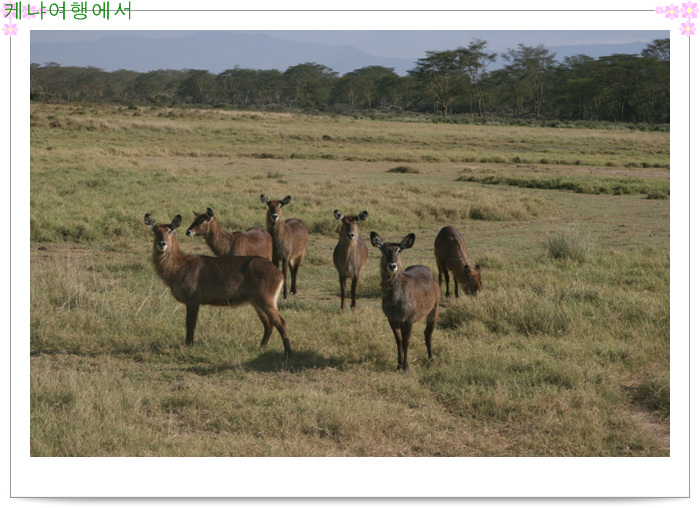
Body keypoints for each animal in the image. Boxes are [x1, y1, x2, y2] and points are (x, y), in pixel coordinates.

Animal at [145, 212, 292, 360]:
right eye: (156, 230)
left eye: (170, 230)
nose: (162, 243)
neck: (179, 266)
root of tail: (280, 274)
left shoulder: (193, 299)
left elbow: (190, 323)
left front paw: (188, 345)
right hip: (256, 301)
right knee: (269, 323)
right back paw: (261, 347)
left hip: (266, 300)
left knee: (281, 322)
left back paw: (288, 353)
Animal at [370, 232, 440, 372]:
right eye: (384, 250)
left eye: (399, 250)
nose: (392, 265)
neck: (395, 299)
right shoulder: (392, 319)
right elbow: (399, 341)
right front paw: (398, 366)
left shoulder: (408, 319)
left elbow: (406, 342)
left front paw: (406, 367)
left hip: (434, 309)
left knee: (428, 334)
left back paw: (431, 360)